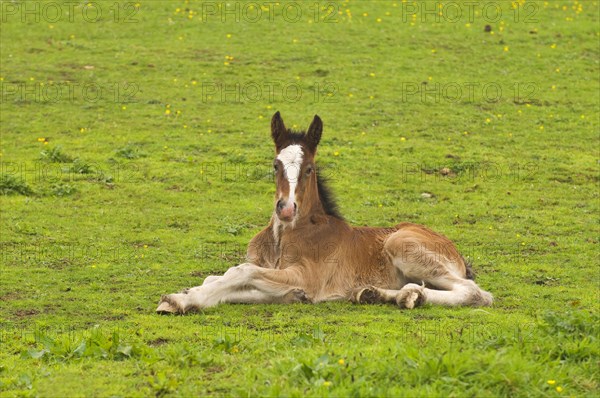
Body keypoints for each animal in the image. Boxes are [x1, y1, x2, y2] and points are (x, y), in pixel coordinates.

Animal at [157, 112, 494, 314]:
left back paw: (412, 295)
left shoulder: (306, 276)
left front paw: (181, 298)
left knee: (476, 293)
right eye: (276, 165)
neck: (283, 237)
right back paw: (382, 294)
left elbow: (241, 272)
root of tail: (455, 251)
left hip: (401, 244)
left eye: (309, 168)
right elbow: (227, 277)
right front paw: (191, 292)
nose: (286, 208)